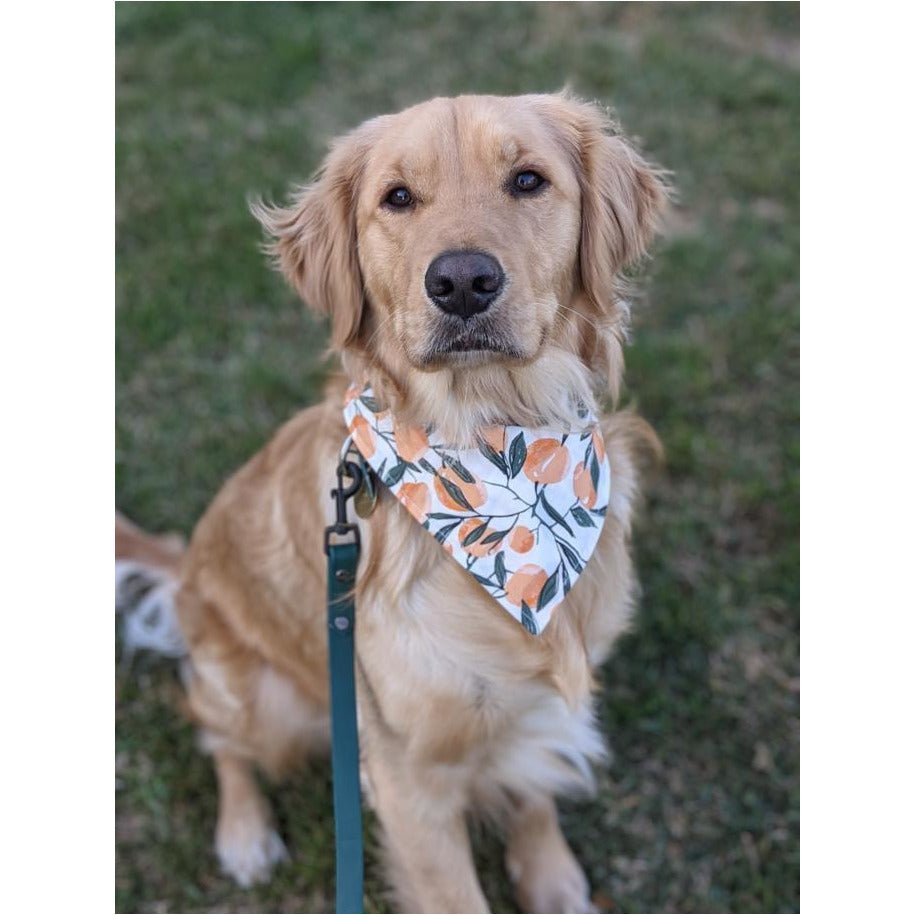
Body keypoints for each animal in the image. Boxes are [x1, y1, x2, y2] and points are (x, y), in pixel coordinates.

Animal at [118, 91, 668, 908]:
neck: (494, 447)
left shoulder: (539, 704)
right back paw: (245, 832)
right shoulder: (407, 777)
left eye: (528, 181)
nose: (463, 281)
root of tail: (185, 570)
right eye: (398, 198)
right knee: (216, 730)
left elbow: (535, 787)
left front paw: (550, 875)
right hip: (267, 701)